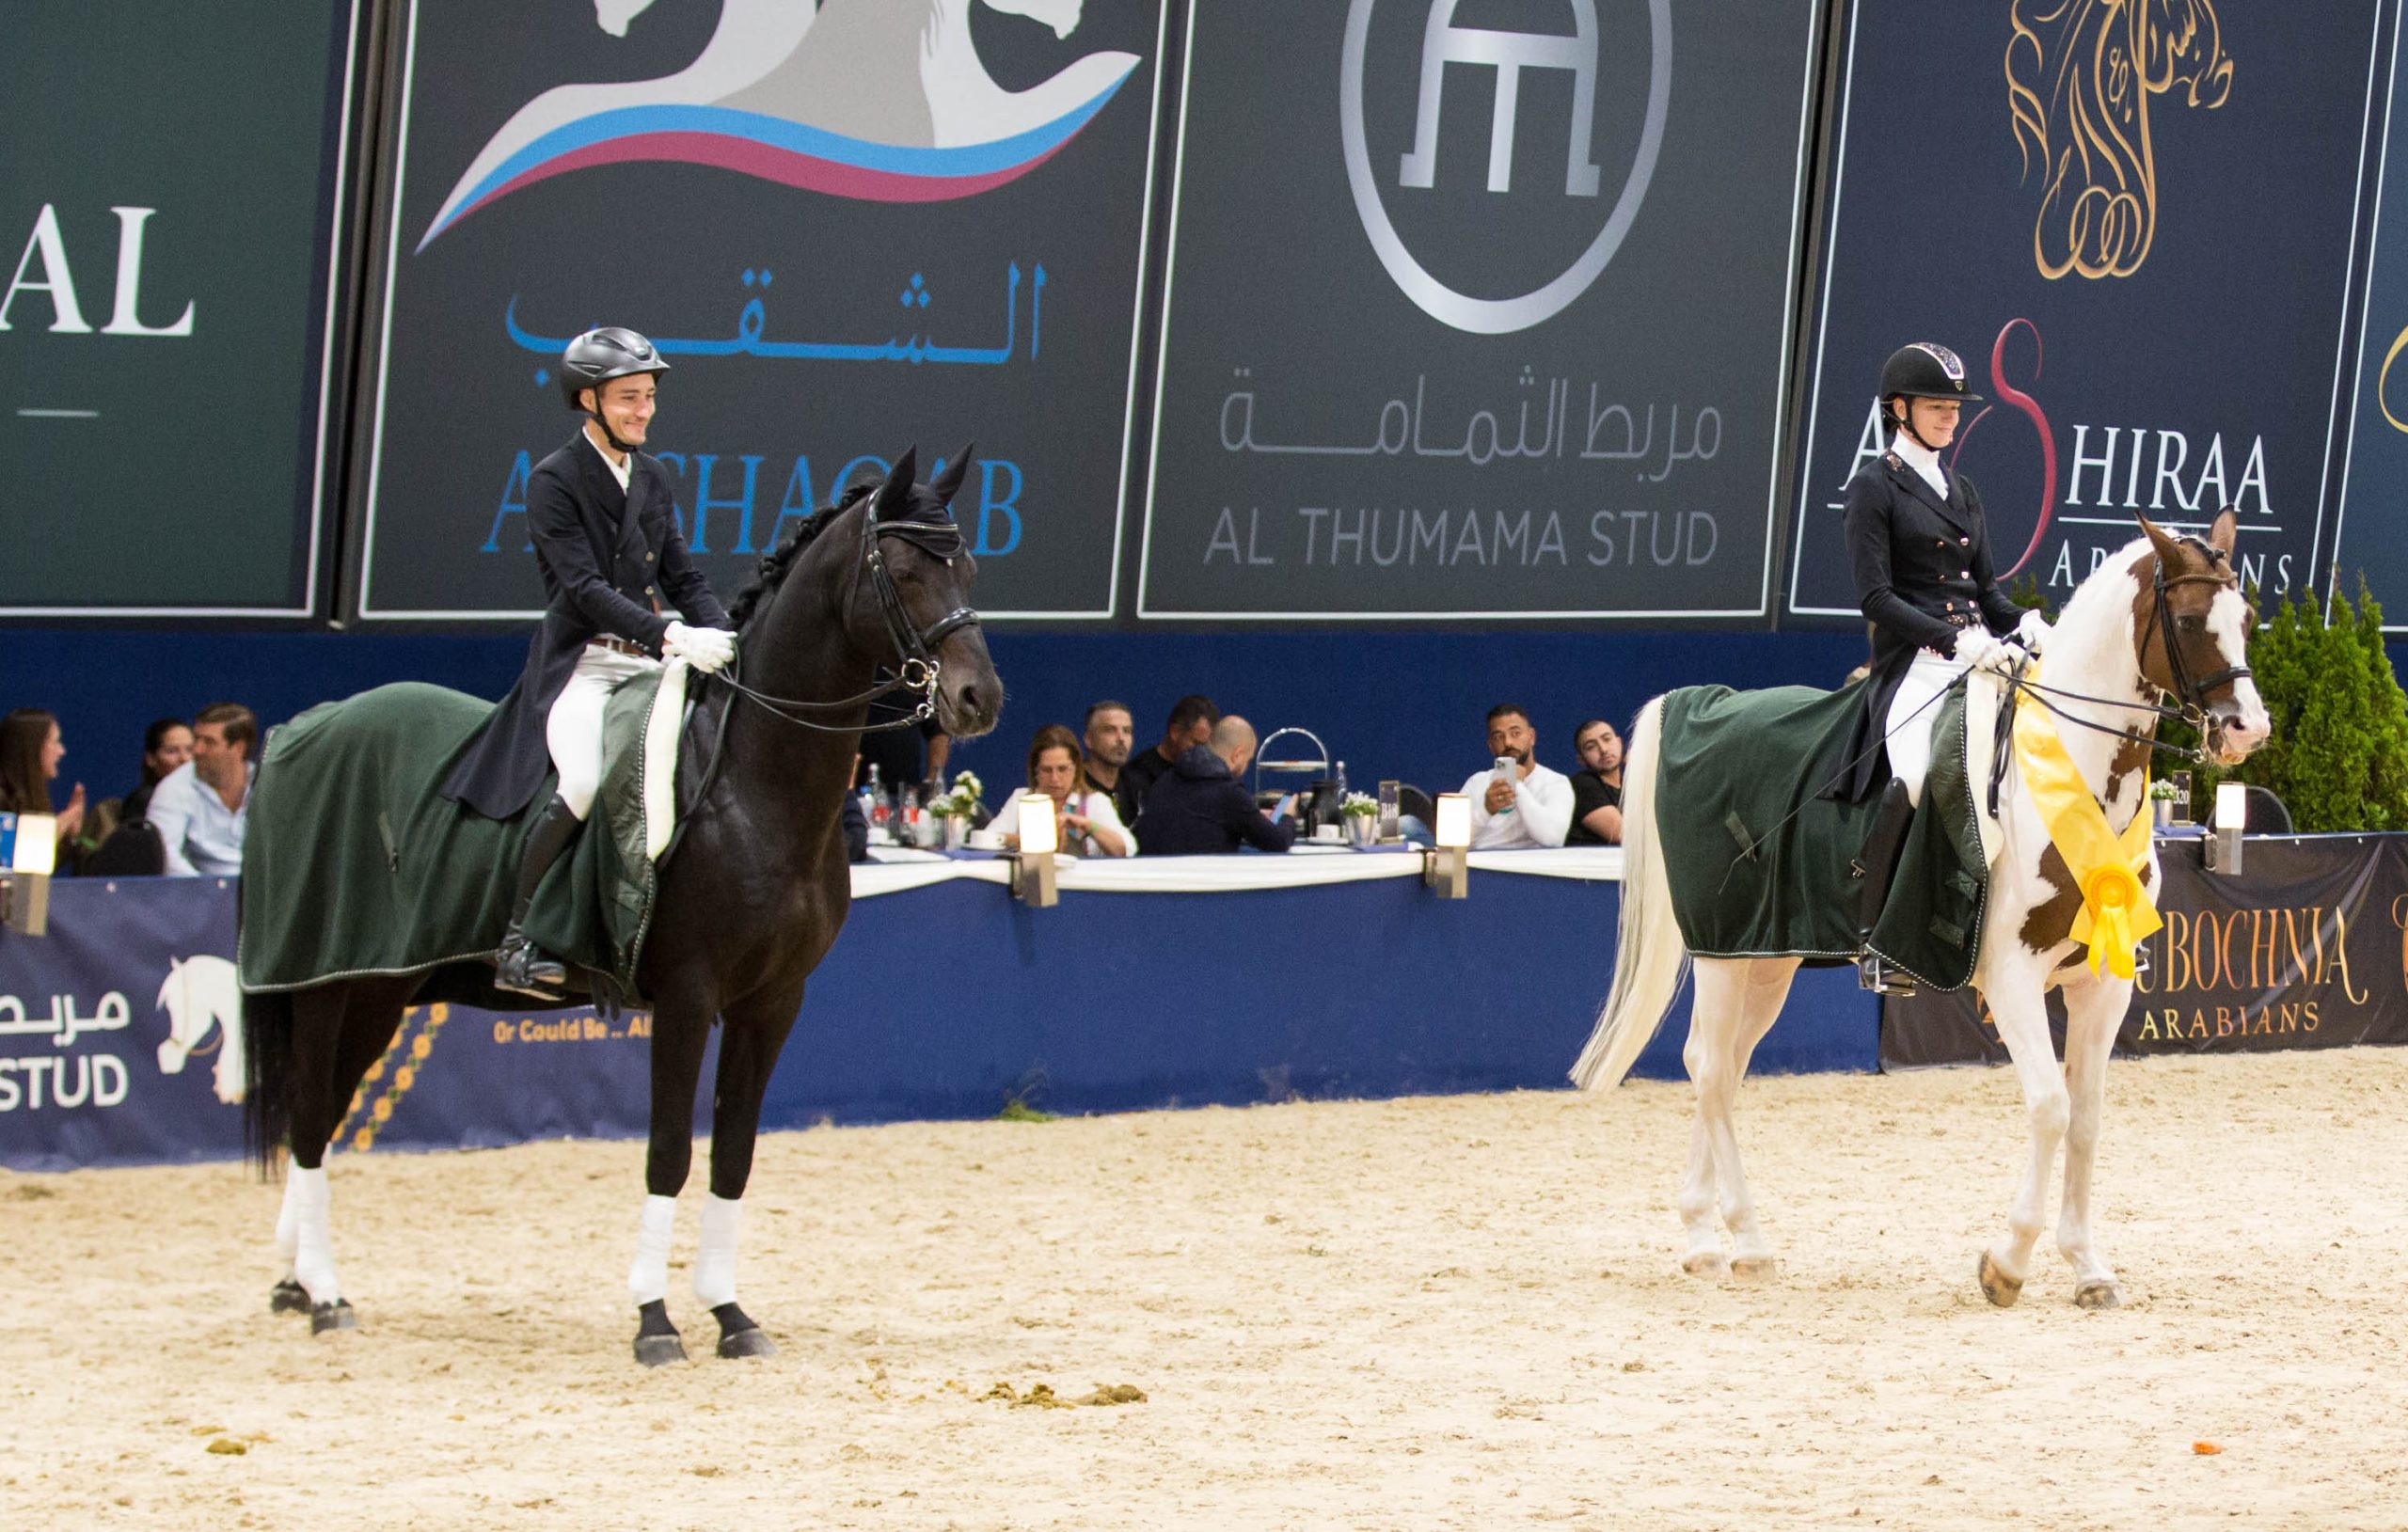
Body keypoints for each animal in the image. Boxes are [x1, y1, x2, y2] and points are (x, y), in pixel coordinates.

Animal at [237, 445, 1006, 1367]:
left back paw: (294, 1284)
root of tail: (303, 726)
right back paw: (323, 1295)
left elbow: (734, 1155)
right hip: (326, 984)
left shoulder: (773, 1001)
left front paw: (731, 1314)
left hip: (381, 990)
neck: (751, 783)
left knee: (321, 1114)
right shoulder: (686, 994)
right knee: (310, 1123)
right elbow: (669, 1151)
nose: (978, 699)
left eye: (966, 565)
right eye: (901, 569)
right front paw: (656, 1320)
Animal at [1570, 508, 2263, 1301]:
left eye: (2248, 617)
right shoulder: (2013, 977)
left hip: (1767, 955)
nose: (2247, 728)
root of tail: (1702, 702)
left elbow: (2086, 1119)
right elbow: (2050, 1107)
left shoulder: (2101, 982)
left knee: (1723, 1065)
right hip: (1722, 947)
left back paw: (1707, 1239)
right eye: (2189, 618)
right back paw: (1742, 1237)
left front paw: (2088, 1266)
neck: (2075, 772)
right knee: (1710, 1065)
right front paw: (2007, 1262)